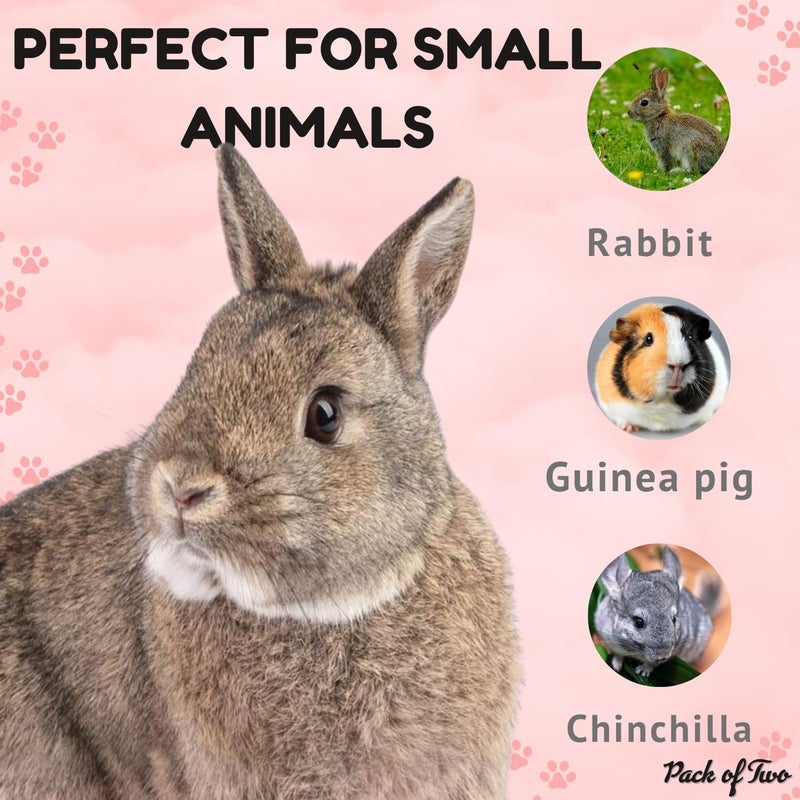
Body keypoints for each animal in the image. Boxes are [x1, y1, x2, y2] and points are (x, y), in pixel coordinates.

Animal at [594, 546, 720, 677]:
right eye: (638, 622)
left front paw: (642, 671)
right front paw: (616, 665)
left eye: (674, 619)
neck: (633, 651)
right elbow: (618, 654)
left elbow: (652, 664)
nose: (662, 657)